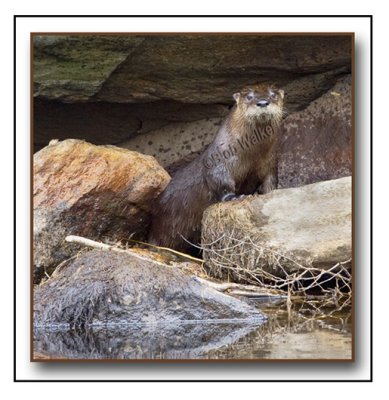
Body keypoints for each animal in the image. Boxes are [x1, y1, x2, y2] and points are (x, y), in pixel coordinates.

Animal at [147, 83, 284, 253]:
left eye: (273, 95)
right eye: (249, 97)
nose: (263, 102)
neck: (250, 154)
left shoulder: (270, 162)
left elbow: (270, 180)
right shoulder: (219, 161)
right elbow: (219, 181)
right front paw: (235, 197)